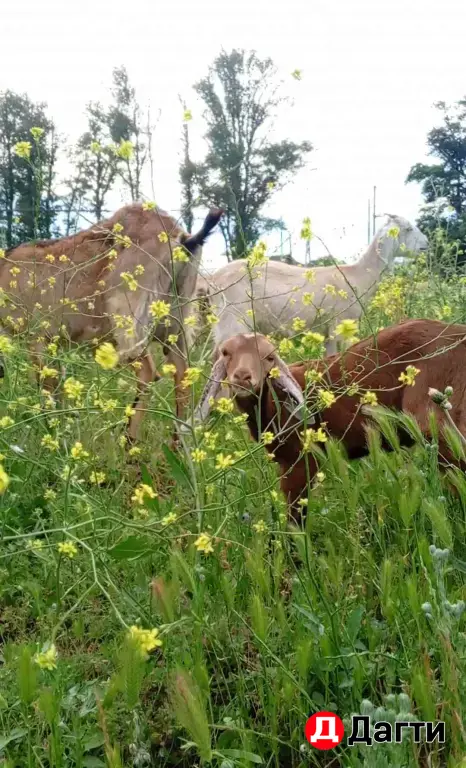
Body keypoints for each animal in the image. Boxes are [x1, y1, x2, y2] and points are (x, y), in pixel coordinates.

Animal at [0, 204, 222, 439]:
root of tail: (183, 239)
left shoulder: (37, 337)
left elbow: (47, 385)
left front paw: (52, 430)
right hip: (177, 322)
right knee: (182, 374)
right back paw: (178, 440)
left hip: (129, 315)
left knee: (148, 371)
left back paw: (128, 438)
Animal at [195, 319, 466, 519]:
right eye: (226, 353)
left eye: (270, 357)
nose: (243, 377)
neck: (273, 403)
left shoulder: (300, 461)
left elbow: (296, 521)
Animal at [207, 215, 428, 356]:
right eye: (408, 229)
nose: (427, 243)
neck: (358, 275)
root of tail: (213, 279)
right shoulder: (342, 323)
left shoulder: (327, 332)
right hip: (232, 318)